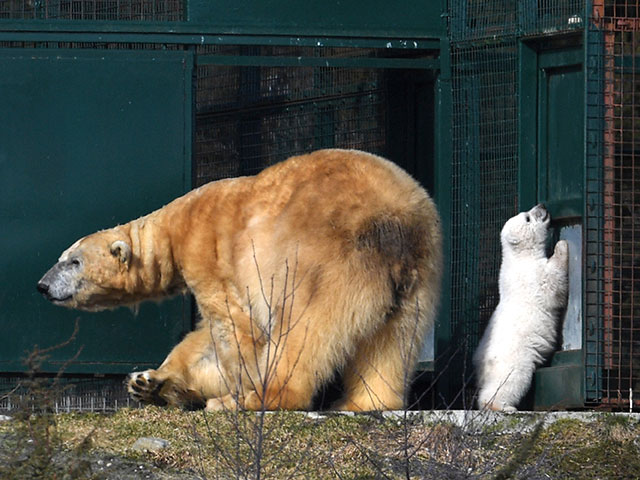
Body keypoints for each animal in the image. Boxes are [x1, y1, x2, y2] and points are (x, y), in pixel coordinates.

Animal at [38, 151, 440, 412]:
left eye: (73, 261)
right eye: (62, 257)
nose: (42, 285)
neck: (174, 227)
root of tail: (392, 224)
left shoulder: (208, 253)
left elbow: (232, 326)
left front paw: (232, 392)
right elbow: (202, 341)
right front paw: (148, 382)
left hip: (323, 261)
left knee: (301, 330)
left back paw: (259, 397)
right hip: (419, 274)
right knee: (391, 341)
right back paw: (364, 402)